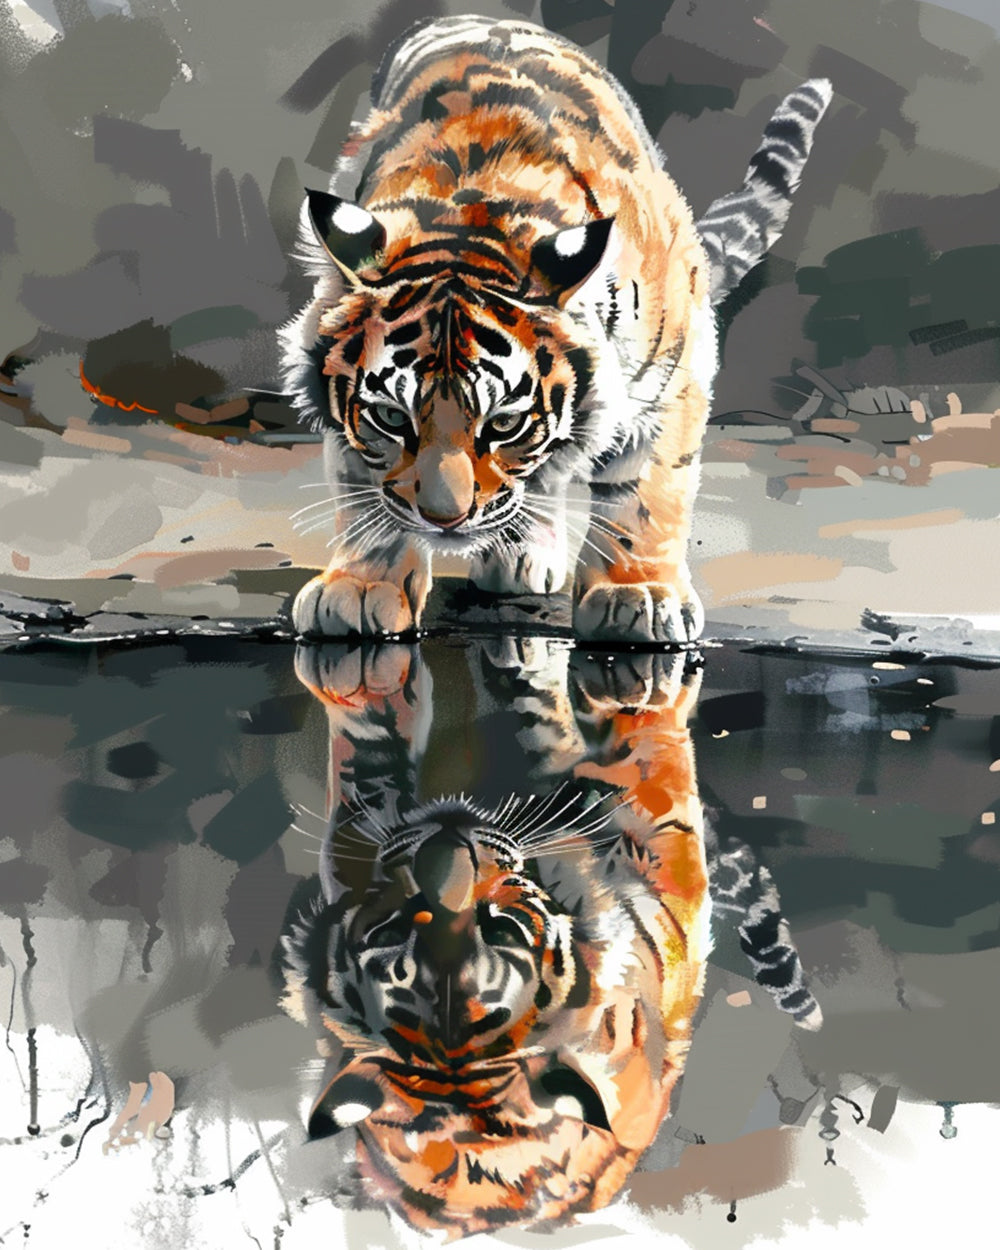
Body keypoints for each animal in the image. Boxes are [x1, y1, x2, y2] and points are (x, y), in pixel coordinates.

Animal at [282, 15, 832, 642]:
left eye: (505, 423)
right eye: (392, 418)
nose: (445, 522)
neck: (473, 212)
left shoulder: (672, 380)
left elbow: (645, 494)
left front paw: (639, 595)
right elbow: (363, 491)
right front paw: (359, 587)